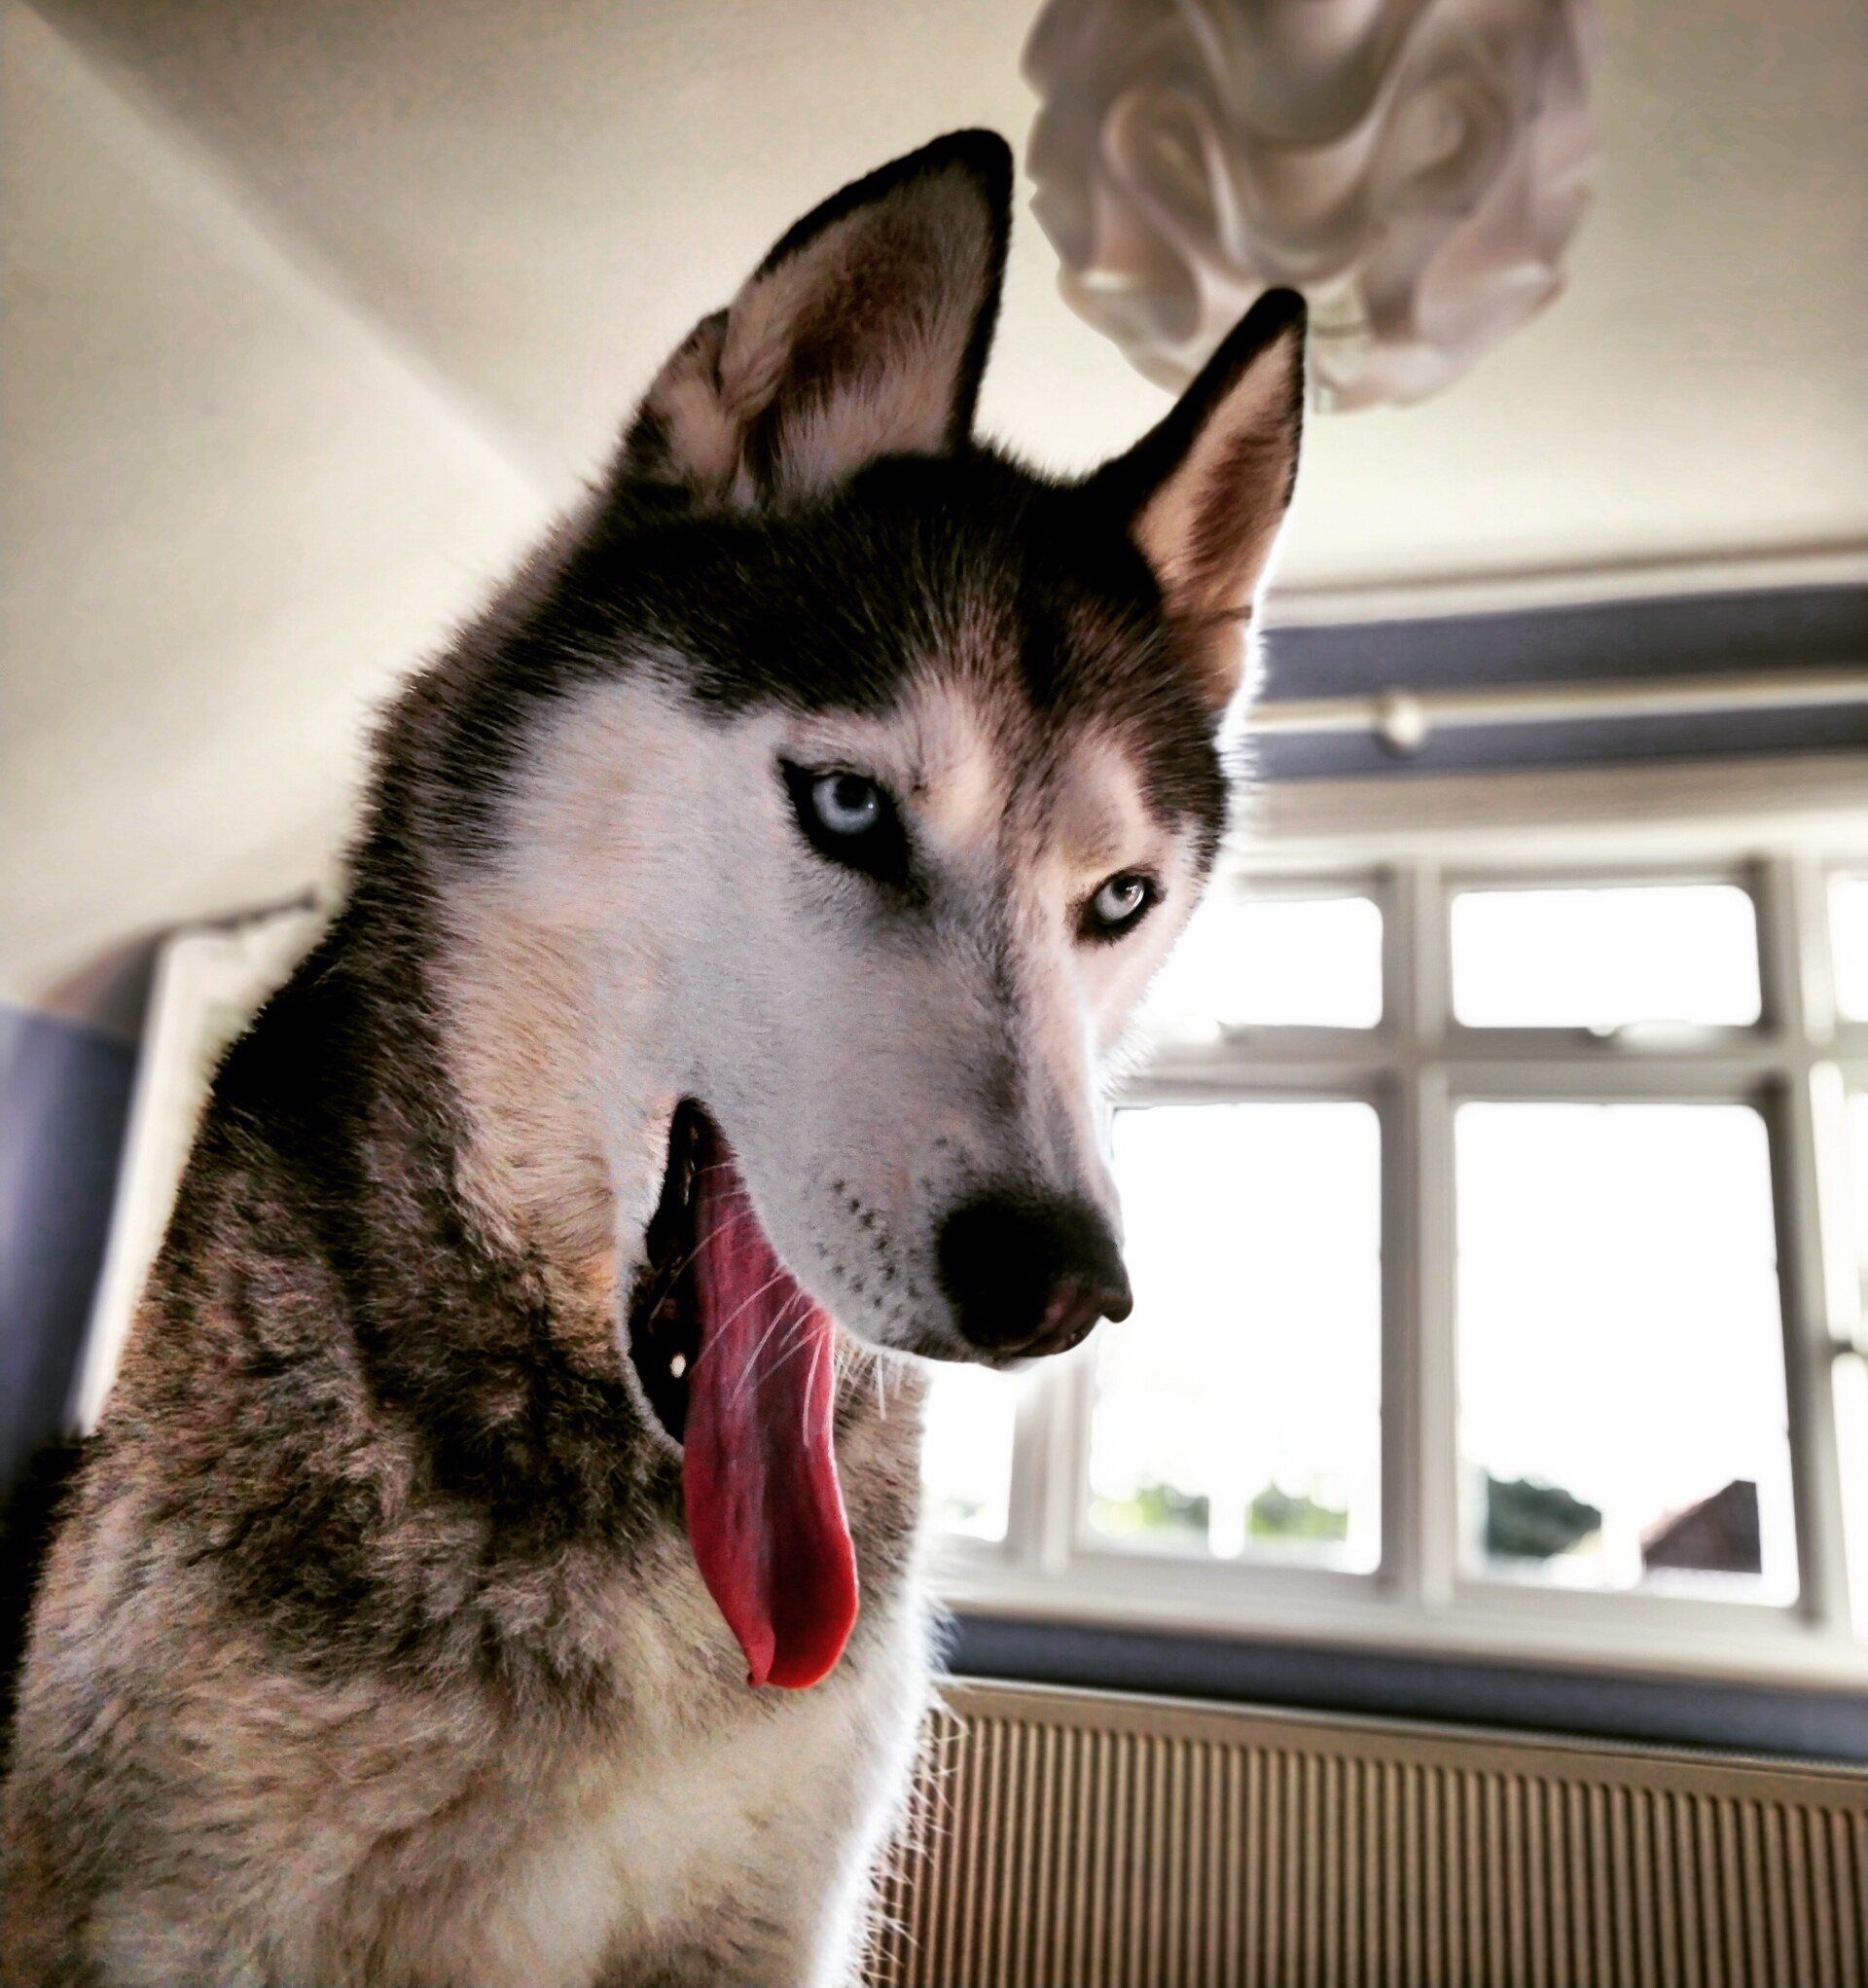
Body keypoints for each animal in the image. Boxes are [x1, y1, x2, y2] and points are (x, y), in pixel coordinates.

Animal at [0, 130, 1305, 1985]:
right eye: (849, 803)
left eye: (1117, 898)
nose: (1060, 1279)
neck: (620, 1527)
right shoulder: (180, 1915)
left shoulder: (762, 1924)